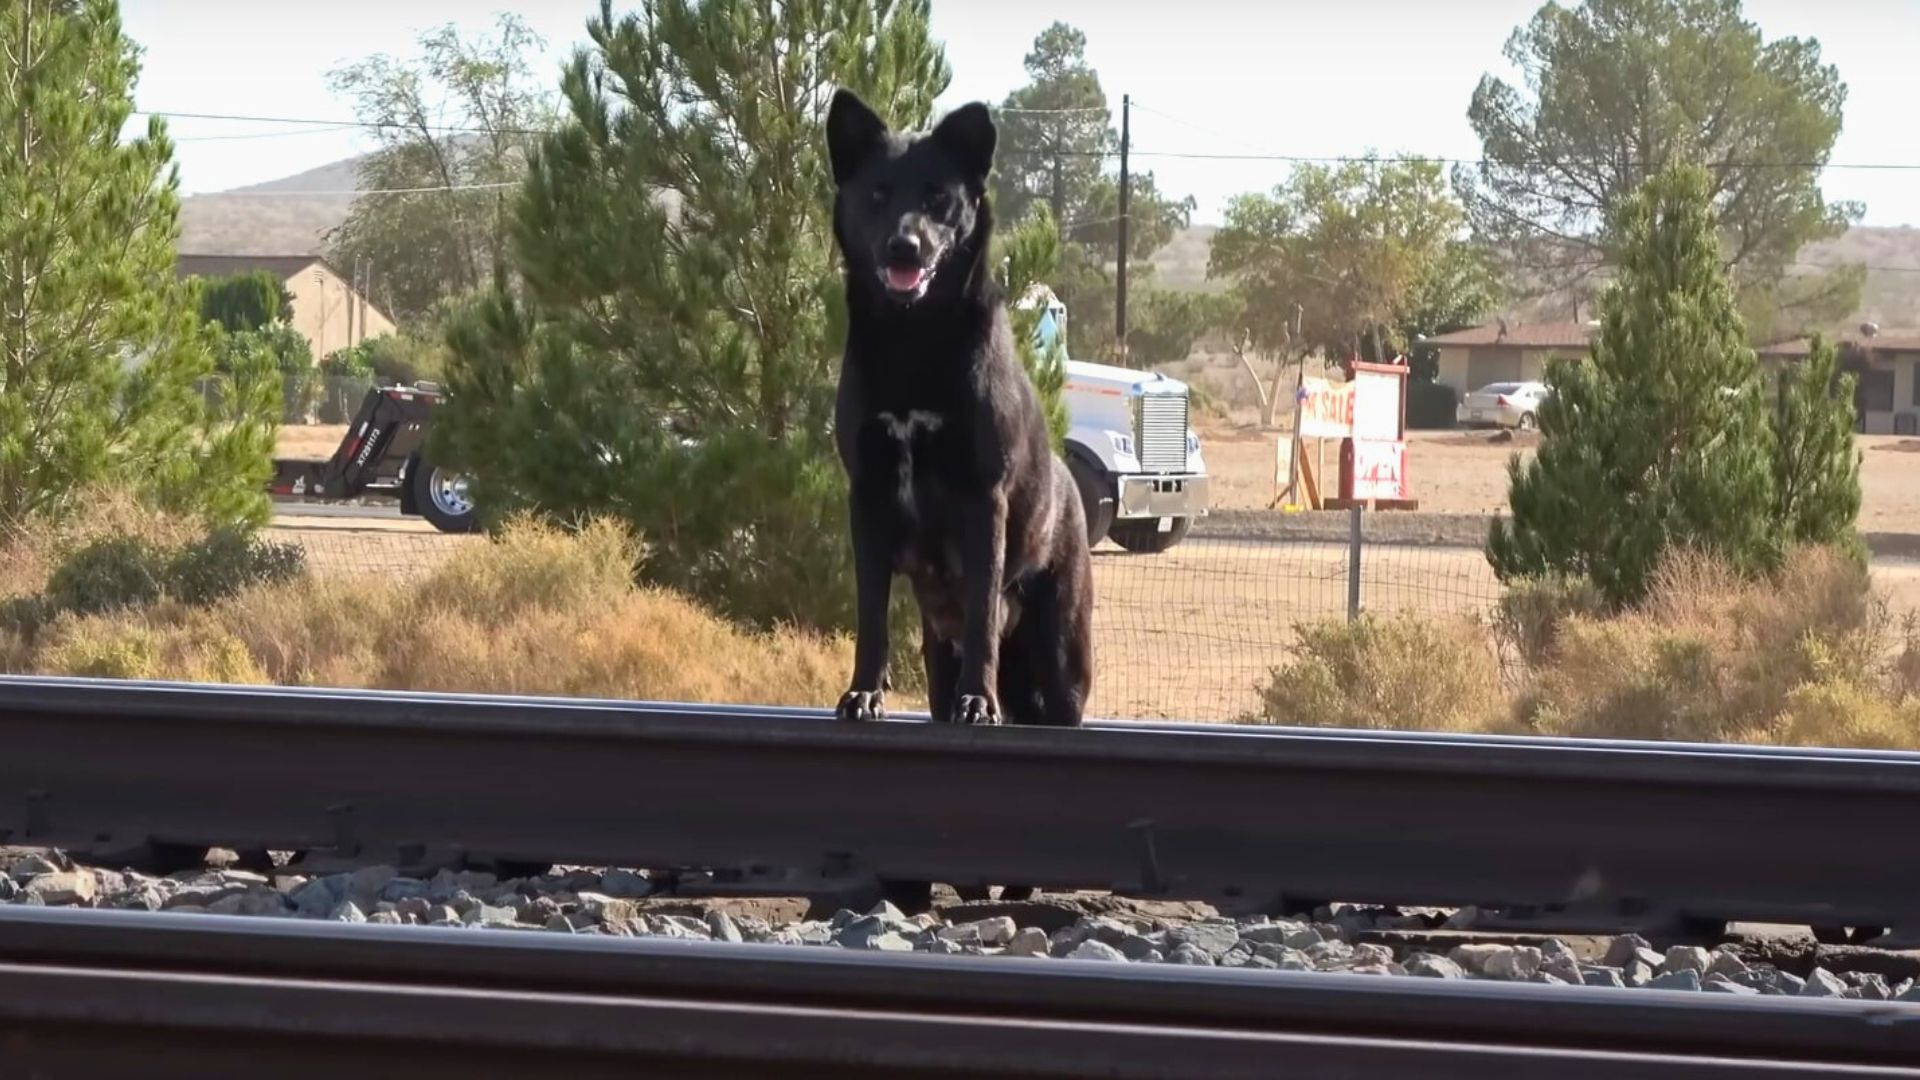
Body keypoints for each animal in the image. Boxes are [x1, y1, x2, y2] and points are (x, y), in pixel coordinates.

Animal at [825, 85, 1098, 722]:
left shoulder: (982, 499)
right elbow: (870, 618)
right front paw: (863, 693)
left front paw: (979, 701)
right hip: (936, 663)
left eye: (938, 198)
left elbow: (980, 620)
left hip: (1063, 661)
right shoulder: (867, 498)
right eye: (878, 194)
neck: (913, 338)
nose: (906, 245)